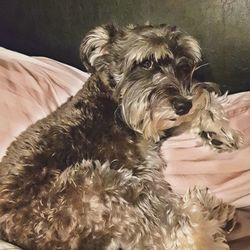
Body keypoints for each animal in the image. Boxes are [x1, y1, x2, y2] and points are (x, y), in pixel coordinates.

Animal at [0, 23, 240, 250]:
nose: (183, 105)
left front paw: (217, 129)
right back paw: (208, 211)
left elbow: (202, 96)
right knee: (181, 233)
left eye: (184, 65)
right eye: (146, 63)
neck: (112, 97)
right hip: (101, 183)